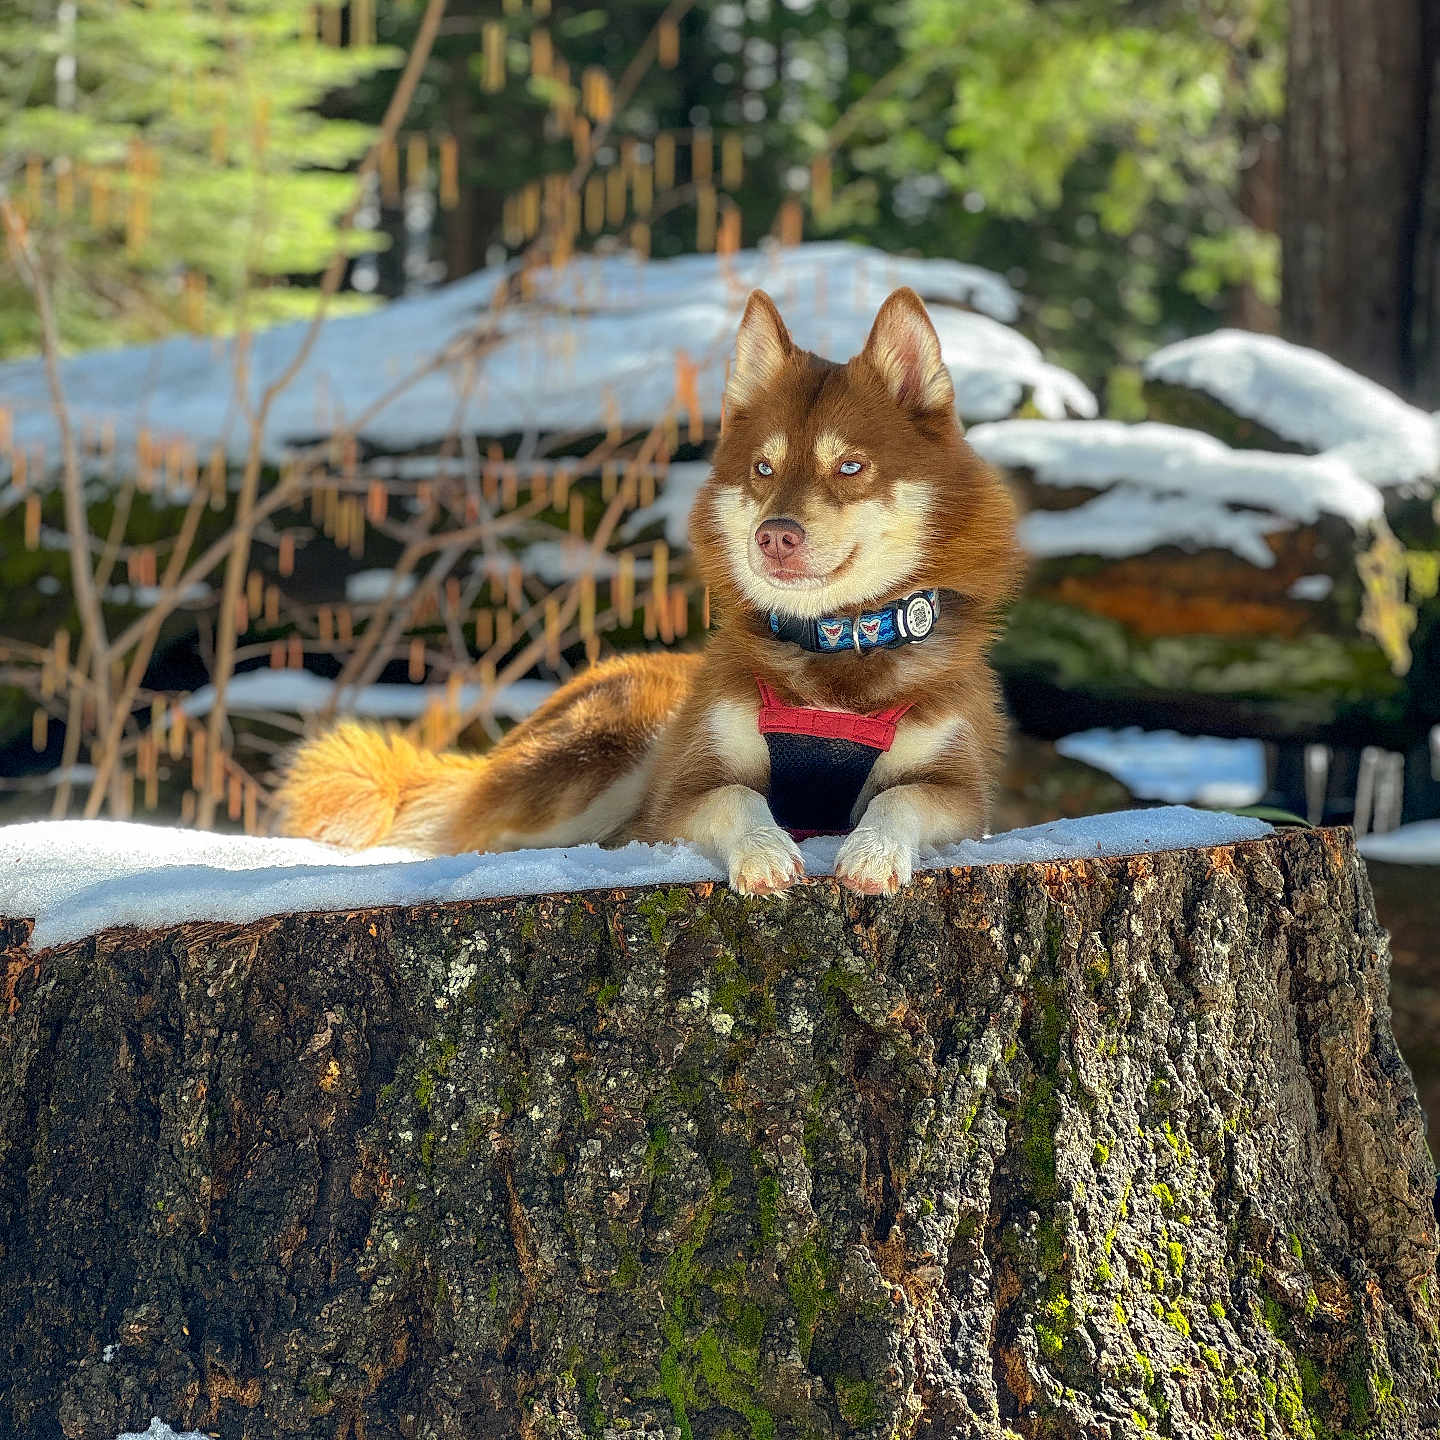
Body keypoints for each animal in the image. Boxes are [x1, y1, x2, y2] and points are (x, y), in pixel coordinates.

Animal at [277, 285, 1025, 896]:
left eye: (850, 466)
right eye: (763, 469)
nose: (774, 536)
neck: (833, 654)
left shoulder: (961, 792)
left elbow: (900, 799)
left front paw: (872, 854)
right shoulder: (682, 789)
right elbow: (736, 799)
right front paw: (764, 853)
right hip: (604, 755)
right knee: (479, 832)